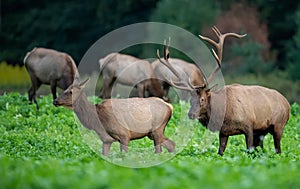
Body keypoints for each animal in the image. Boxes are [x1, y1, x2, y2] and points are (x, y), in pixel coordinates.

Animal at [158, 27, 290, 157]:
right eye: (190, 100)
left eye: (202, 99)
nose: (191, 114)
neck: (224, 113)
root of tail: (287, 103)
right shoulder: (224, 132)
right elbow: (220, 152)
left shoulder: (249, 126)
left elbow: (249, 150)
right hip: (262, 131)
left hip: (279, 125)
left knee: (278, 150)